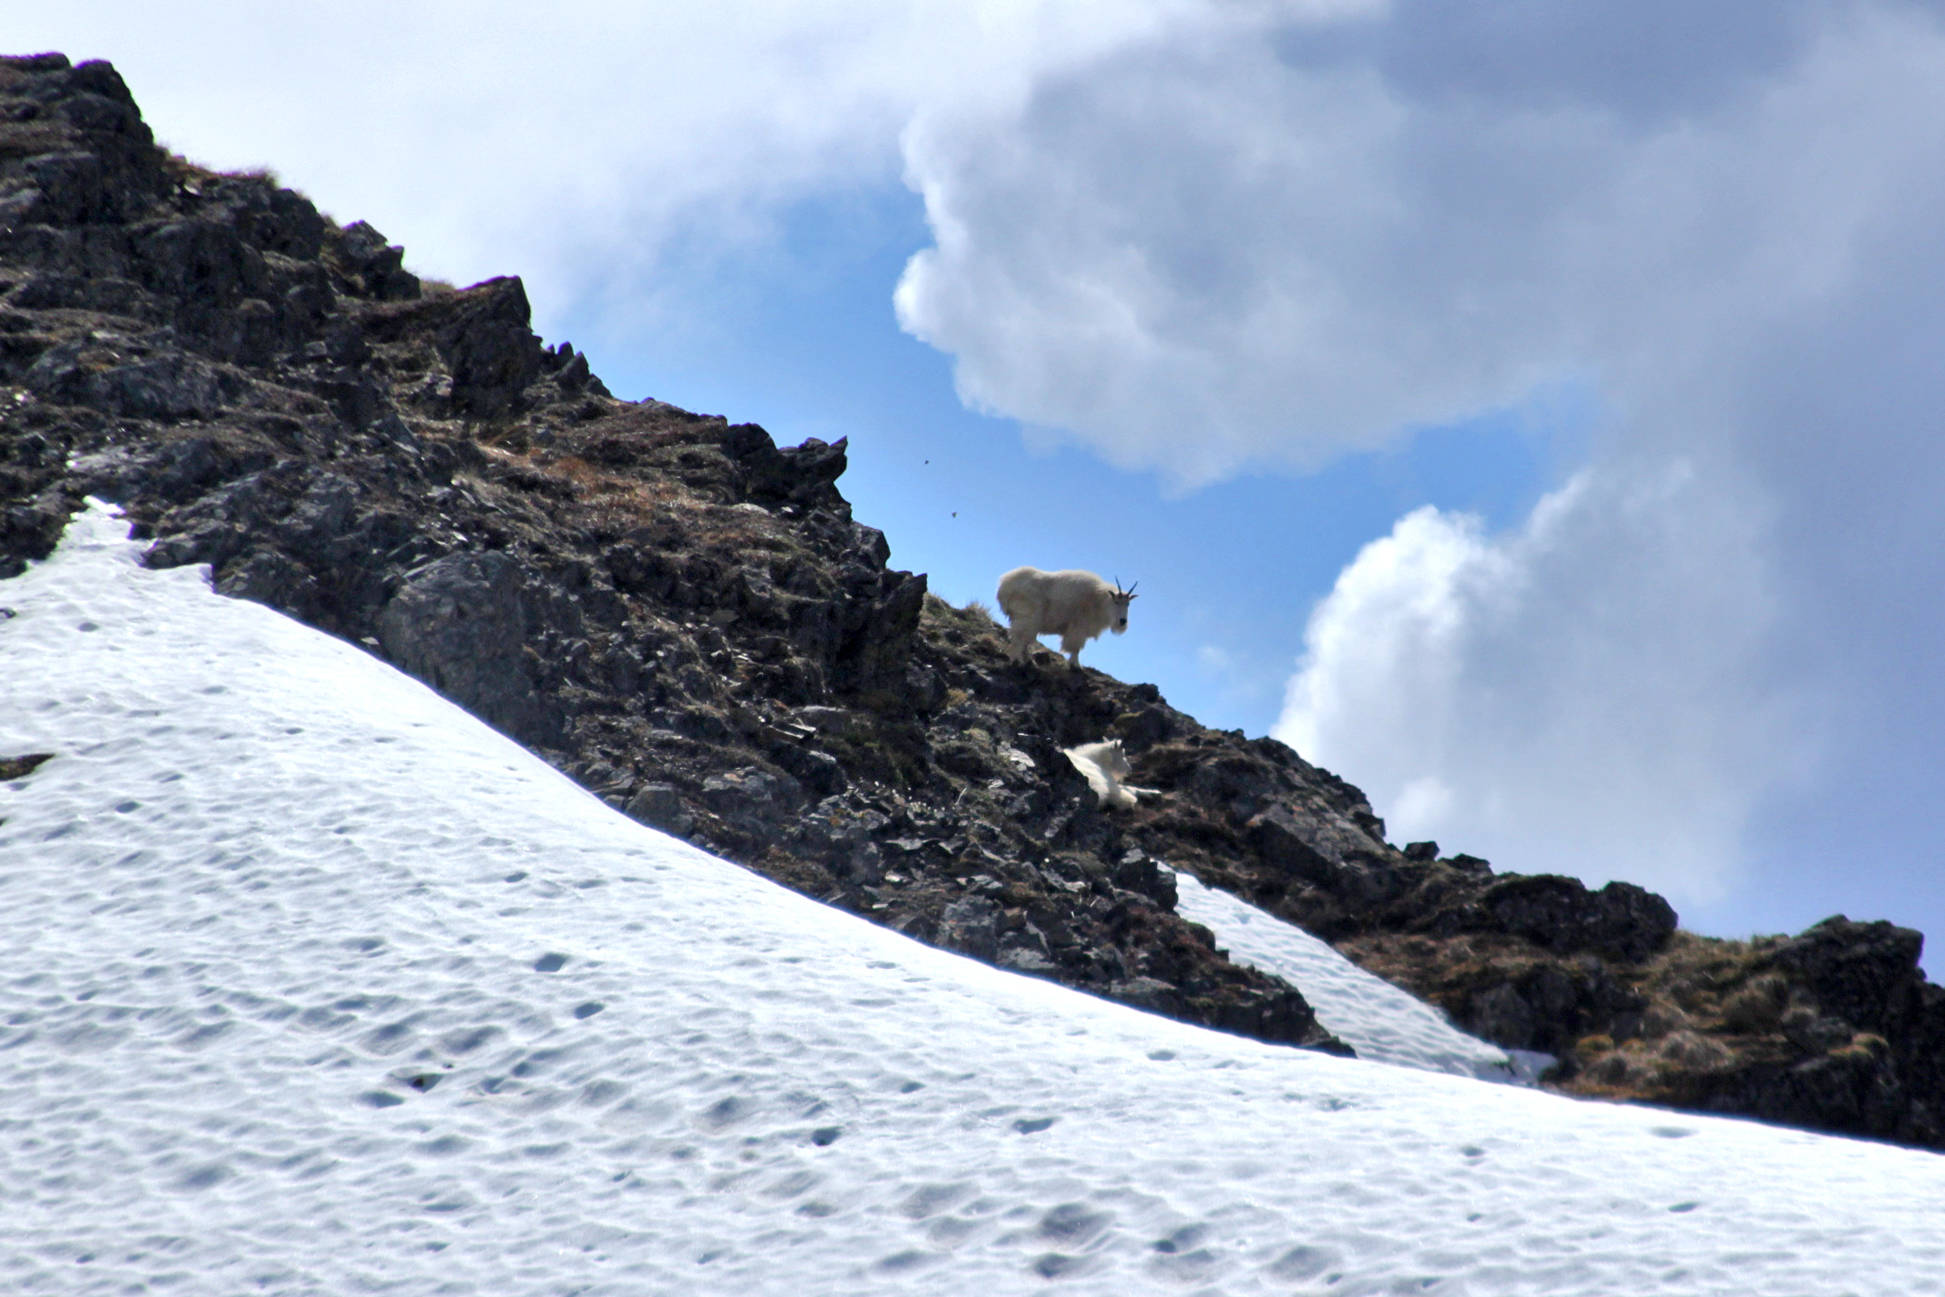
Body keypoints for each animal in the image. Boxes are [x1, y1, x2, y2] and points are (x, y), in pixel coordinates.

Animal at [995, 567, 1135, 668]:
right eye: (1116, 602)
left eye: (1128, 604)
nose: (1122, 621)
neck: (1099, 600)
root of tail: (1004, 586)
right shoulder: (1078, 628)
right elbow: (1075, 648)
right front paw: (1076, 665)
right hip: (1027, 618)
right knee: (1019, 638)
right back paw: (1017, 659)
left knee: (1023, 640)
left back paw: (1028, 661)